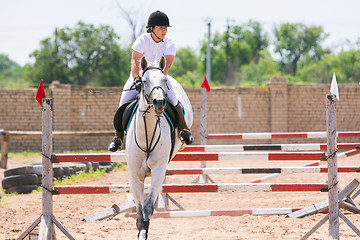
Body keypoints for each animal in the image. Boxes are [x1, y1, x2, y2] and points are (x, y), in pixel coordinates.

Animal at [125, 56, 193, 240]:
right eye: (144, 81)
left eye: (164, 80)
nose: (160, 103)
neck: (147, 135)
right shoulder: (135, 176)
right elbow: (139, 210)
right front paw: (141, 230)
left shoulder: (157, 170)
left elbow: (148, 207)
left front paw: (144, 231)